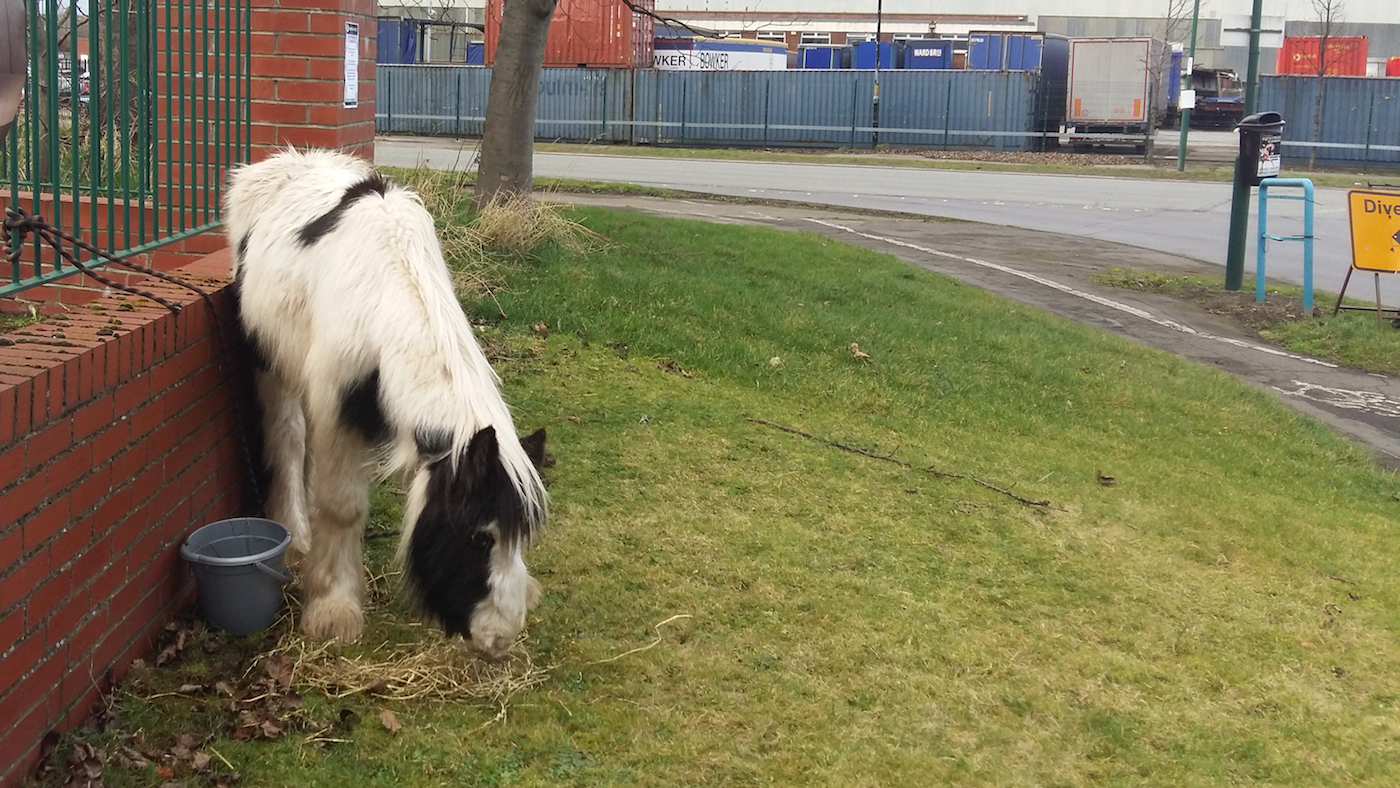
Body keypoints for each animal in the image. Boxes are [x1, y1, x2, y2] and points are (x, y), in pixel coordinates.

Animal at [223, 148, 548, 659]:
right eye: (480, 537)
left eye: (522, 536)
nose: (500, 638)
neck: (387, 298)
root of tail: (281, 162)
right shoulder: (337, 411)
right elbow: (342, 506)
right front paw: (333, 609)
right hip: (270, 362)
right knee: (289, 440)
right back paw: (296, 535)